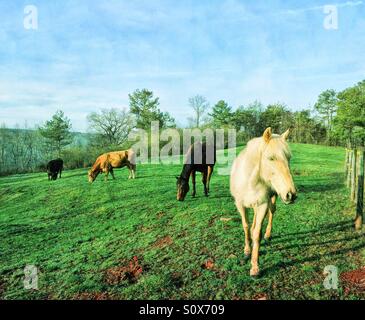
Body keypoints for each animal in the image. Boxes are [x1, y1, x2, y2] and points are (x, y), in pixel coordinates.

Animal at [230, 127, 296, 278]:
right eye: (271, 158)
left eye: (288, 158)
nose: (291, 194)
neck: (249, 181)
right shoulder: (240, 205)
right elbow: (246, 226)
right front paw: (247, 250)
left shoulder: (263, 205)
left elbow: (257, 234)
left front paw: (255, 267)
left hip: (271, 200)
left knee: (271, 213)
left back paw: (268, 235)